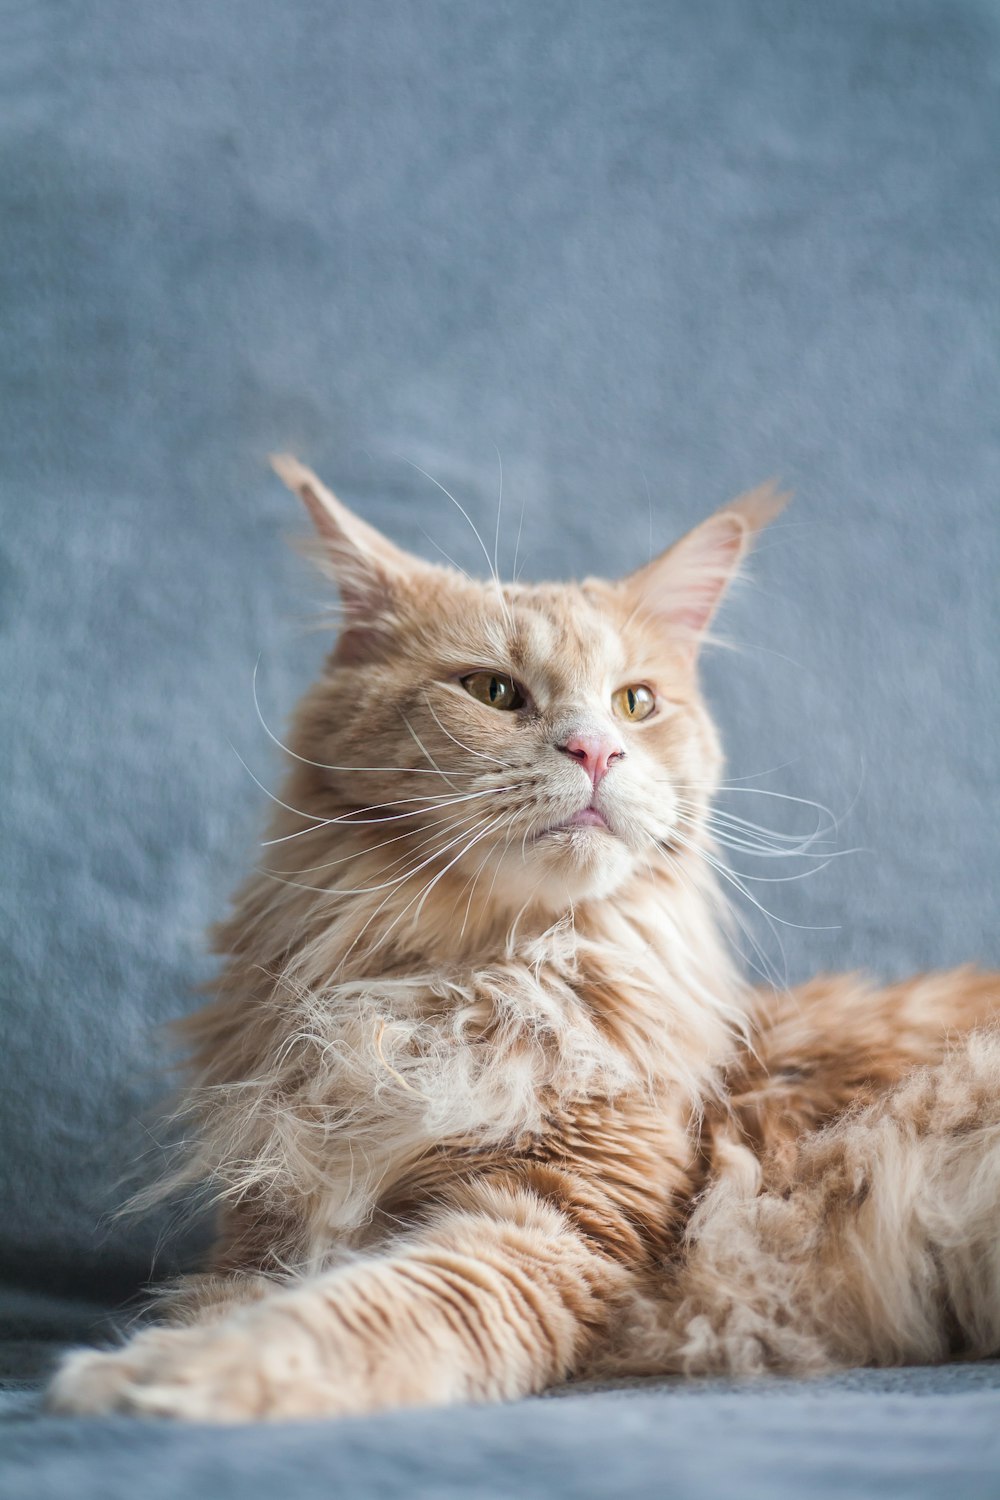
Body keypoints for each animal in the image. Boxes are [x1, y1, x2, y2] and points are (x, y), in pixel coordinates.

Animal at [48, 459, 1000, 1416]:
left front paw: (162, 1378)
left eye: (635, 703)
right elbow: (235, 1299)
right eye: (493, 692)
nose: (596, 752)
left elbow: (343, 1318)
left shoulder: (554, 1225)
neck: (469, 984)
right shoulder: (269, 1225)